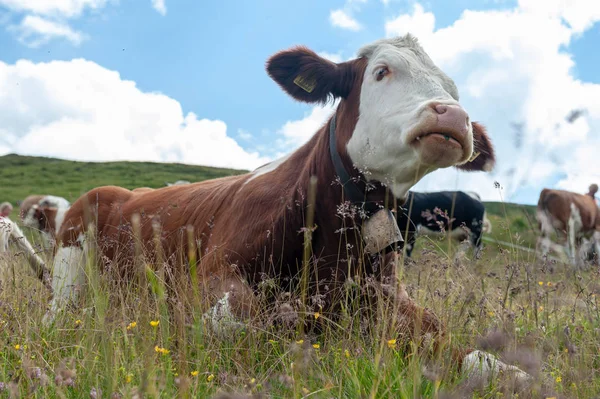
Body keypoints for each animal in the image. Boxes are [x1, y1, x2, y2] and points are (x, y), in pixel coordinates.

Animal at [44, 35, 528, 388]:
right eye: (382, 71)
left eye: (453, 90)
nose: (453, 116)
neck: (334, 248)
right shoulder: (210, 277)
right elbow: (239, 324)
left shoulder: (390, 299)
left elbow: (476, 356)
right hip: (70, 266)